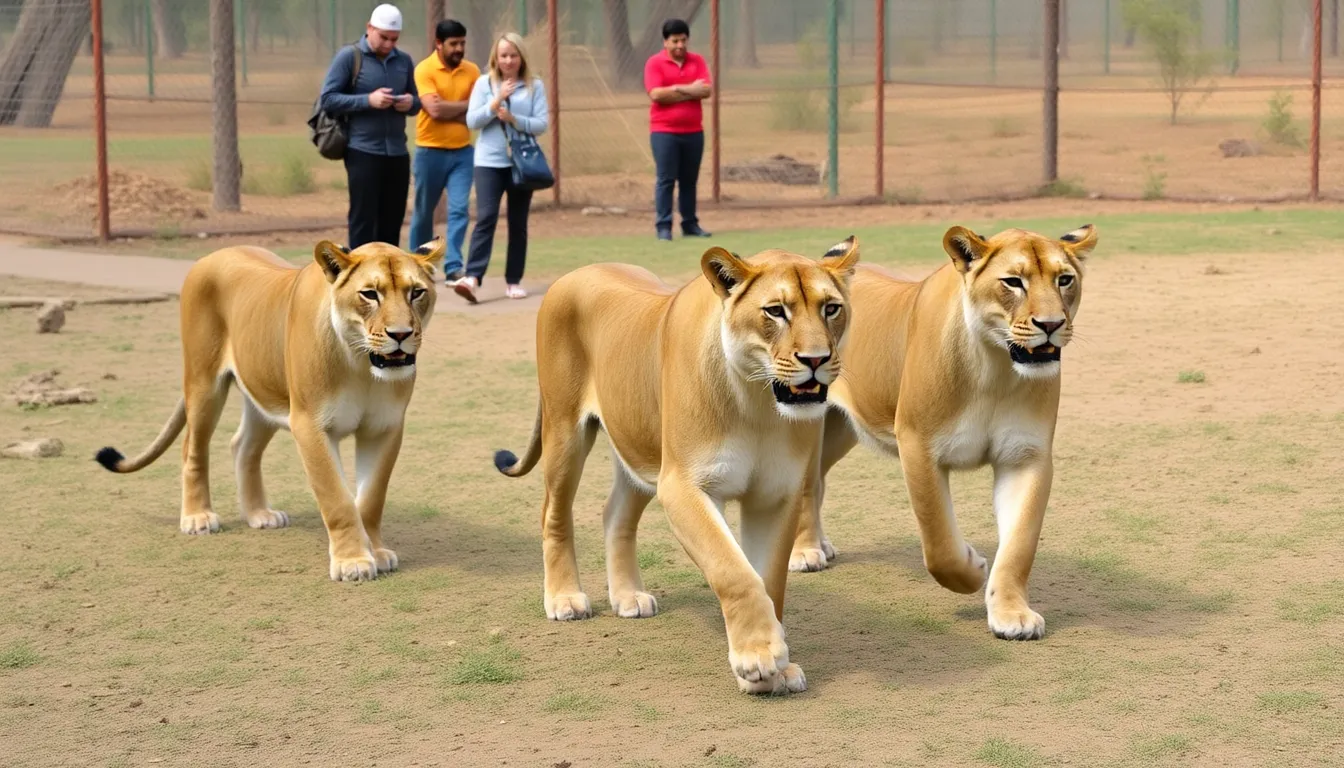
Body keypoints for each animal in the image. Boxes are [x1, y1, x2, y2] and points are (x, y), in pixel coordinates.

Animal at [95, 238, 442, 583]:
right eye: (370, 293)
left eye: (416, 292)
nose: (401, 334)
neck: (360, 363)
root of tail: (212, 255)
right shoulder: (310, 425)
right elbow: (338, 499)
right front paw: (352, 561)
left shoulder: (384, 428)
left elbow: (370, 498)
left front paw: (377, 552)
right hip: (204, 384)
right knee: (193, 448)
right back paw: (197, 517)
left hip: (263, 395)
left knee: (243, 447)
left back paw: (259, 514)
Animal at [493, 237, 861, 694]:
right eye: (776, 311)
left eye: (831, 308)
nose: (816, 359)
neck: (757, 401)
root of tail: (574, 273)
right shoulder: (683, 485)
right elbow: (733, 570)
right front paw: (758, 656)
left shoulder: (776, 494)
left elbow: (769, 579)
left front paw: (776, 669)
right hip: (565, 434)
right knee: (553, 514)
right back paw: (565, 599)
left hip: (639, 447)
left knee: (615, 514)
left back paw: (628, 597)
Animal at [790, 224, 1097, 642]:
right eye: (1013, 282)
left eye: (1064, 279)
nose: (1050, 325)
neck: (995, 367)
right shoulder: (918, 444)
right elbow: (939, 540)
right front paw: (973, 568)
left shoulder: (1026, 456)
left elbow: (1020, 544)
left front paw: (1012, 614)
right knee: (805, 486)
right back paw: (806, 551)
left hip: (843, 429)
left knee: (818, 480)